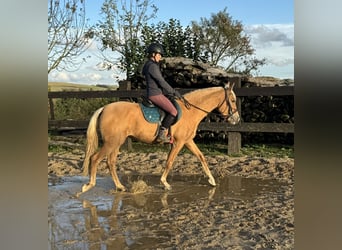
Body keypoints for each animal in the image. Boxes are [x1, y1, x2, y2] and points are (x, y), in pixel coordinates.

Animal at [79, 82, 240, 195]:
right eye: (232, 100)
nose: (236, 119)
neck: (190, 111)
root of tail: (104, 108)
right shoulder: (179, 143)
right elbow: (169, 162)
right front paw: (165, 183)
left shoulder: (187, 141)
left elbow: (201, 157)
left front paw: (212, 180)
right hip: (112, 143)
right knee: (95, 159)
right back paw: (89, 186)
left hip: (116, 143)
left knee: (110, 162)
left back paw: (120, 186)